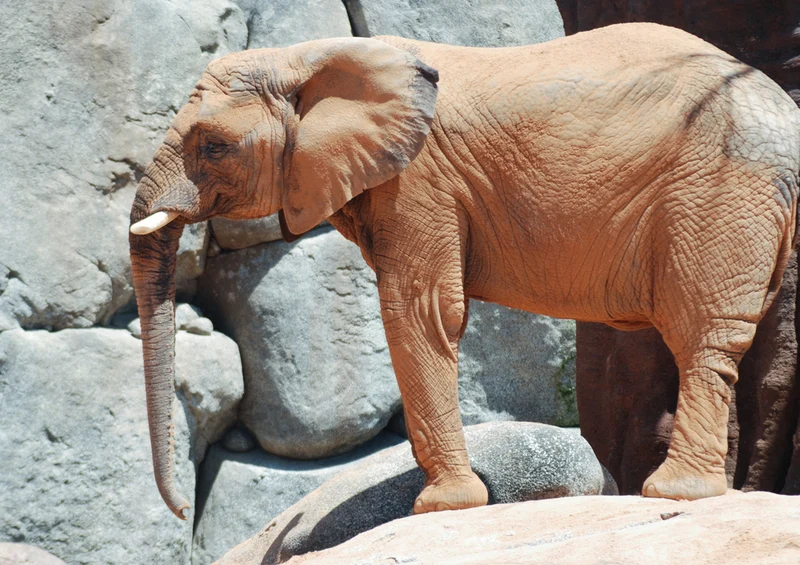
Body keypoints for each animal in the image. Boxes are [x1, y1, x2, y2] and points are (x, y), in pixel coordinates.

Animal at [129, 22, 800, 520]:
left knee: (700, 334)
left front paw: (442, 508)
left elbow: (419, 312)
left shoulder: (419, 181)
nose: (181, 510)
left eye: (213, 146)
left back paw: (676, 494)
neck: (311, 54)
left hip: (719, 188)